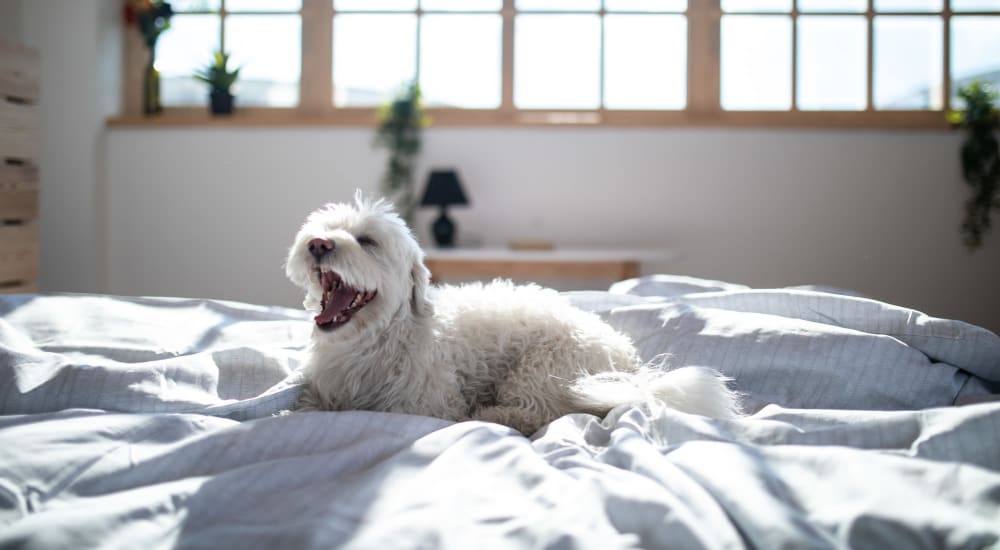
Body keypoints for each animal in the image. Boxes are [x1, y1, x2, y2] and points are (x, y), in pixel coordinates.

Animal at [286, 194, 740, 436]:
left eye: (367, 241)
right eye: (323, 229)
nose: (319, 243)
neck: (373, 341)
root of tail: (630, 364)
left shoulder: (425, 404)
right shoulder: (322, 392)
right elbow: (306, 408)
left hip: (542, 368)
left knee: (542, 412)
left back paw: (492, 415)